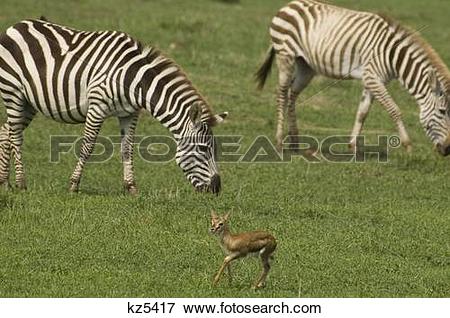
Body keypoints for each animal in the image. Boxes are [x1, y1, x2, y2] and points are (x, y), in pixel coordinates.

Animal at [0, 19, 229, 195]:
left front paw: (131, 187)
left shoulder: (130, 113)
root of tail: (16, 25)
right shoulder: (97, 106)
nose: (217, 189)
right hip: (13, 92)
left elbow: (127, 148)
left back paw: (5, 182)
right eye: (203, 149)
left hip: (28, 102)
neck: (134, 80)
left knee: (6, 132)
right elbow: (88, 146)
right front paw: (73, 185)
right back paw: (21, 183)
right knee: (16, 137)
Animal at [256, 0, 450, 155]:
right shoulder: (373, 77)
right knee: (282, 93)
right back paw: (279, 142)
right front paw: (408, 145)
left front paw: (353, 147)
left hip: (306, 66)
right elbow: (394, 109)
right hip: (285, 55)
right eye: (443, 111)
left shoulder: (372, 80)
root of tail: (289, 5)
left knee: (292, 94)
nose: (447, 150)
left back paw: (295, 142)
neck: (393, 56)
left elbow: (362, 113)